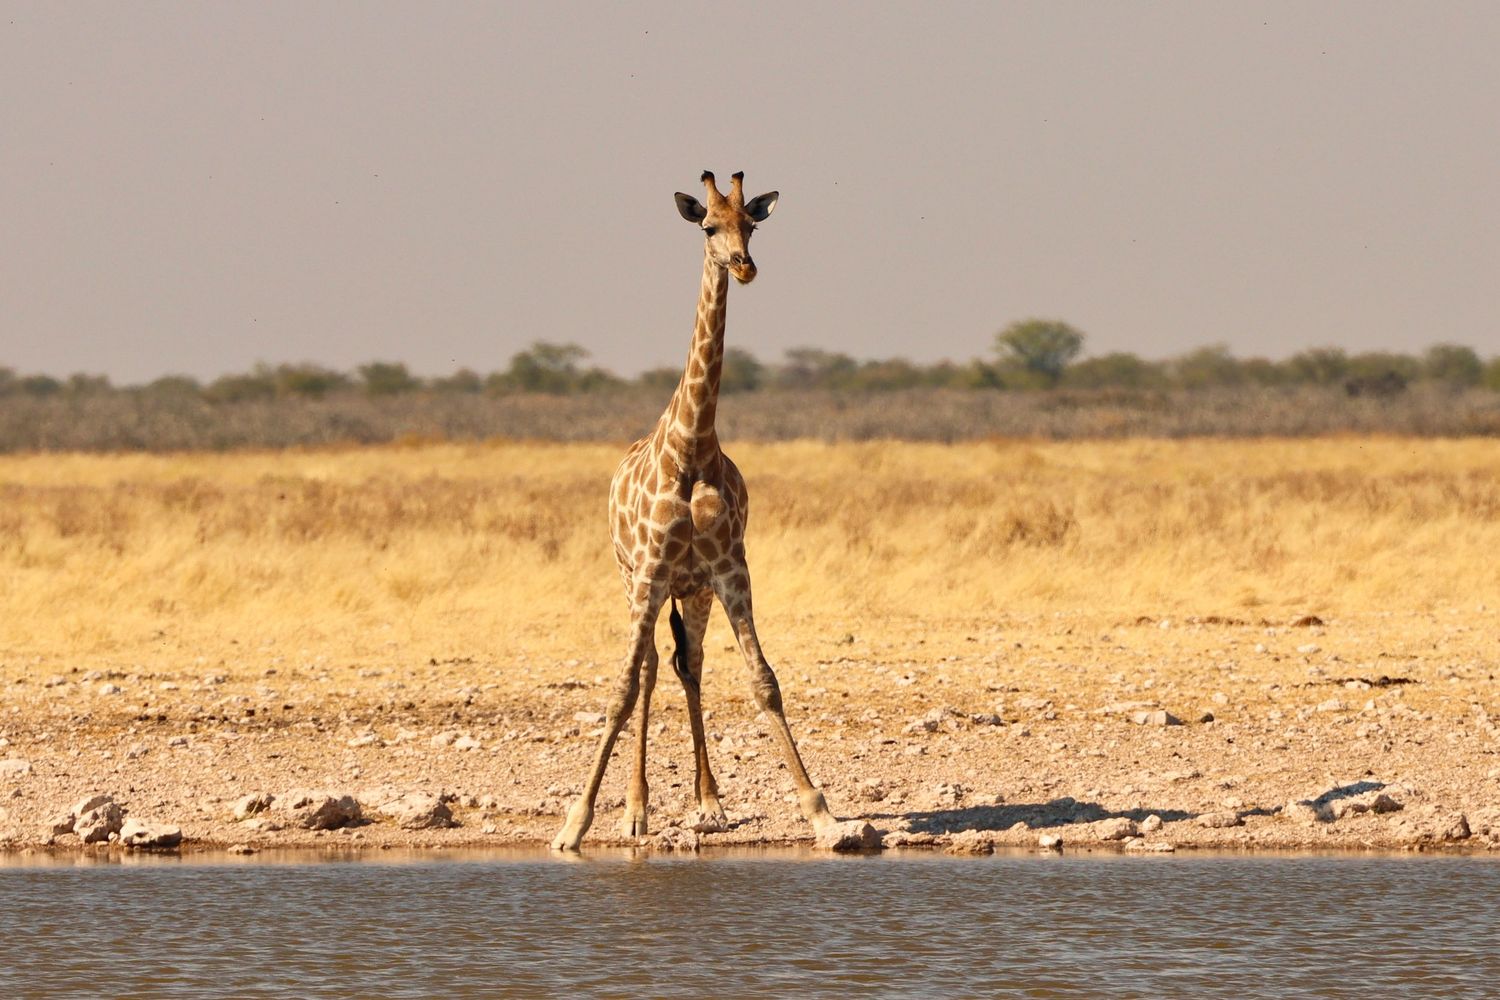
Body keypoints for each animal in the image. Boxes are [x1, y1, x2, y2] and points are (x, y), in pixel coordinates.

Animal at [550, 171, 849, 851]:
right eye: (708, 227)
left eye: (753, 225)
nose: (743, 265)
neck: (691, 447)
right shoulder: (651, 570)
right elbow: (621, 689)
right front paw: (576, 823)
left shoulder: (730, 569)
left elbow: (764, 681)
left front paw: (822, 814)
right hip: (635, 580)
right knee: (651, 671)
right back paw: (637, 810)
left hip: (694, 591)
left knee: (690, 665)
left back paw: (709, 802)